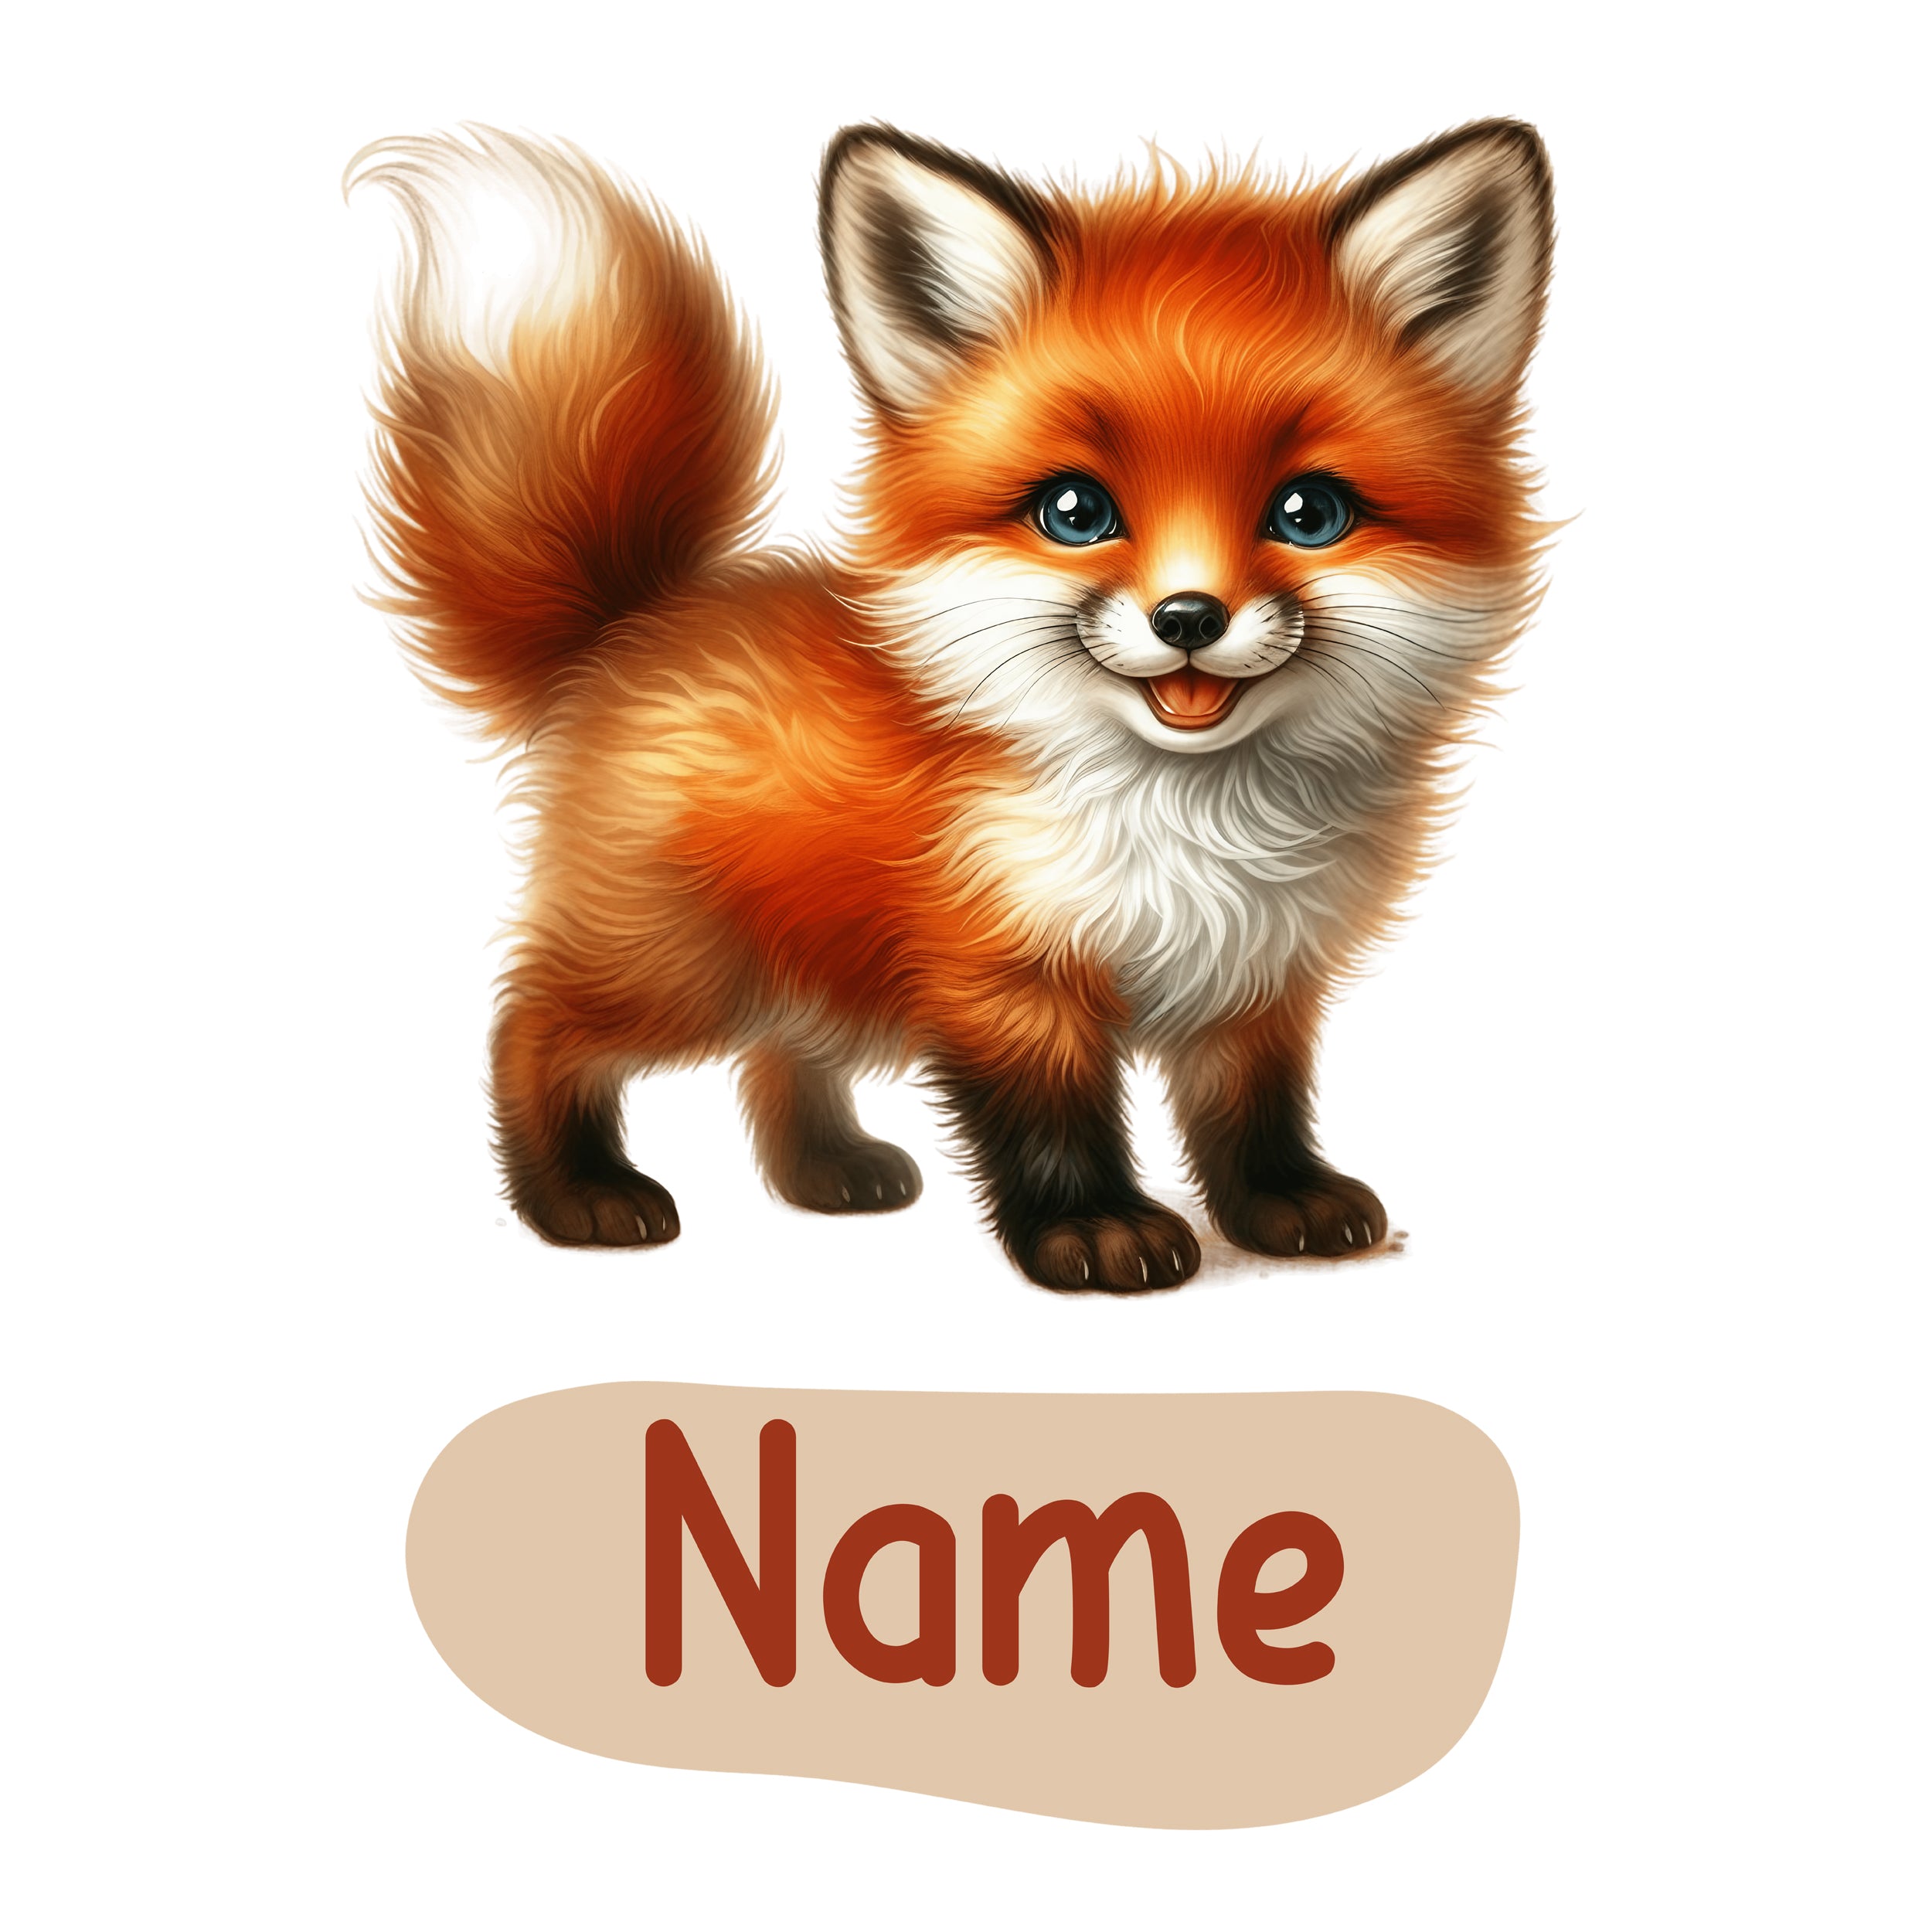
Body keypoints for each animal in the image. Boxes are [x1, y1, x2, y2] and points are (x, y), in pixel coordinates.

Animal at [351, 119, 1554, 1291]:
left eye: (1309, 513)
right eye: (1075, 510)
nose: (1188, 616)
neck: (1190, 828)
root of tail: (637, 614)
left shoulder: (1258, 979)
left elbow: (1251, 1115)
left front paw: (1280, 1204)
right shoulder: (1002, 974)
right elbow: (1051, 1123)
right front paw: (1093, 1231)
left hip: (799, 967)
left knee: (777, 1063)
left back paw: (831, 1169)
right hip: (679, 970)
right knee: (534, 1027)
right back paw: (576, 1195)